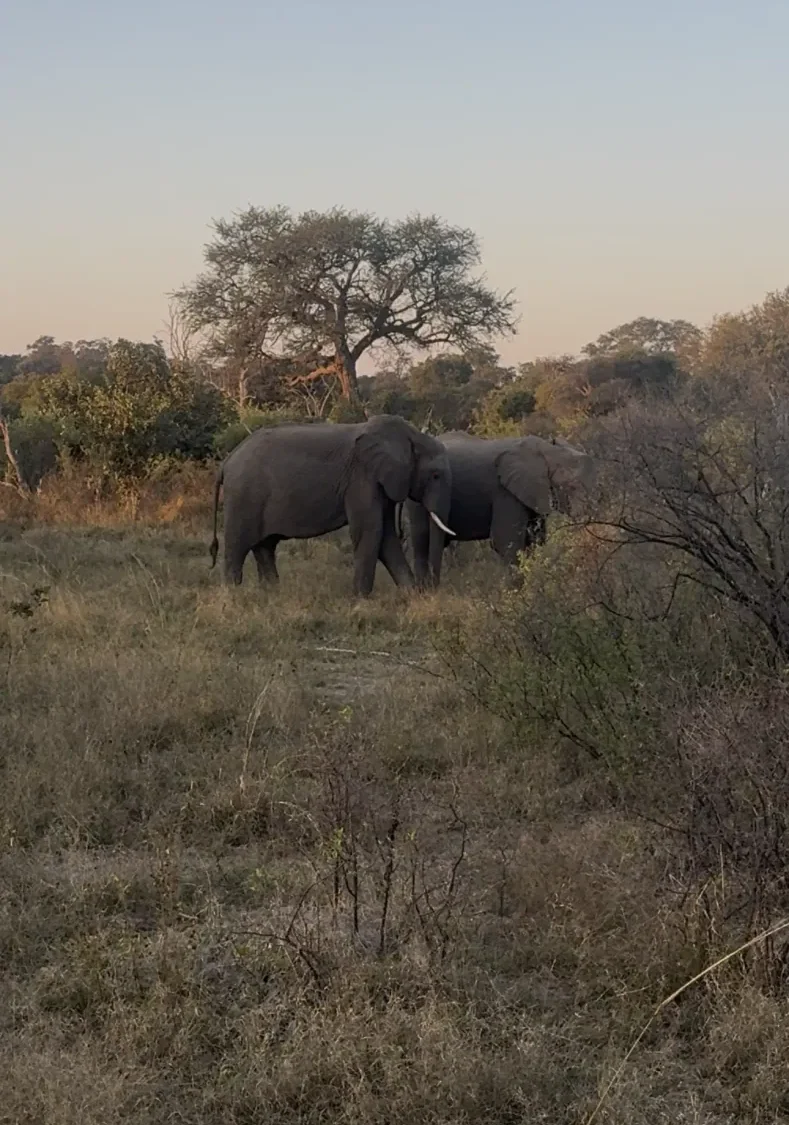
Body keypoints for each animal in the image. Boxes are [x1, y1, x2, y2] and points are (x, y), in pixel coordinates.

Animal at [209, 414, 455, 596]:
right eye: (435, 475)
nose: (429, 590)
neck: (410, 436)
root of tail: (226, 461)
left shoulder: (380, 482)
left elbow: (386, 537)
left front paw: (411, 596)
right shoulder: (361, 478)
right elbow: (370, 532)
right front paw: (361, 600)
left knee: (264, 548)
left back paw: (271, 595)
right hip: (243, 497)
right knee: (238, 548)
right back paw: (232, 598)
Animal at [403, 431, 595, 588]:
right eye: (571, 487)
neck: (547, 450)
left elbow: (535, 540)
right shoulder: (505, 492)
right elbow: (506, 542)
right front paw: (517, 592)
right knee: (422, 541)